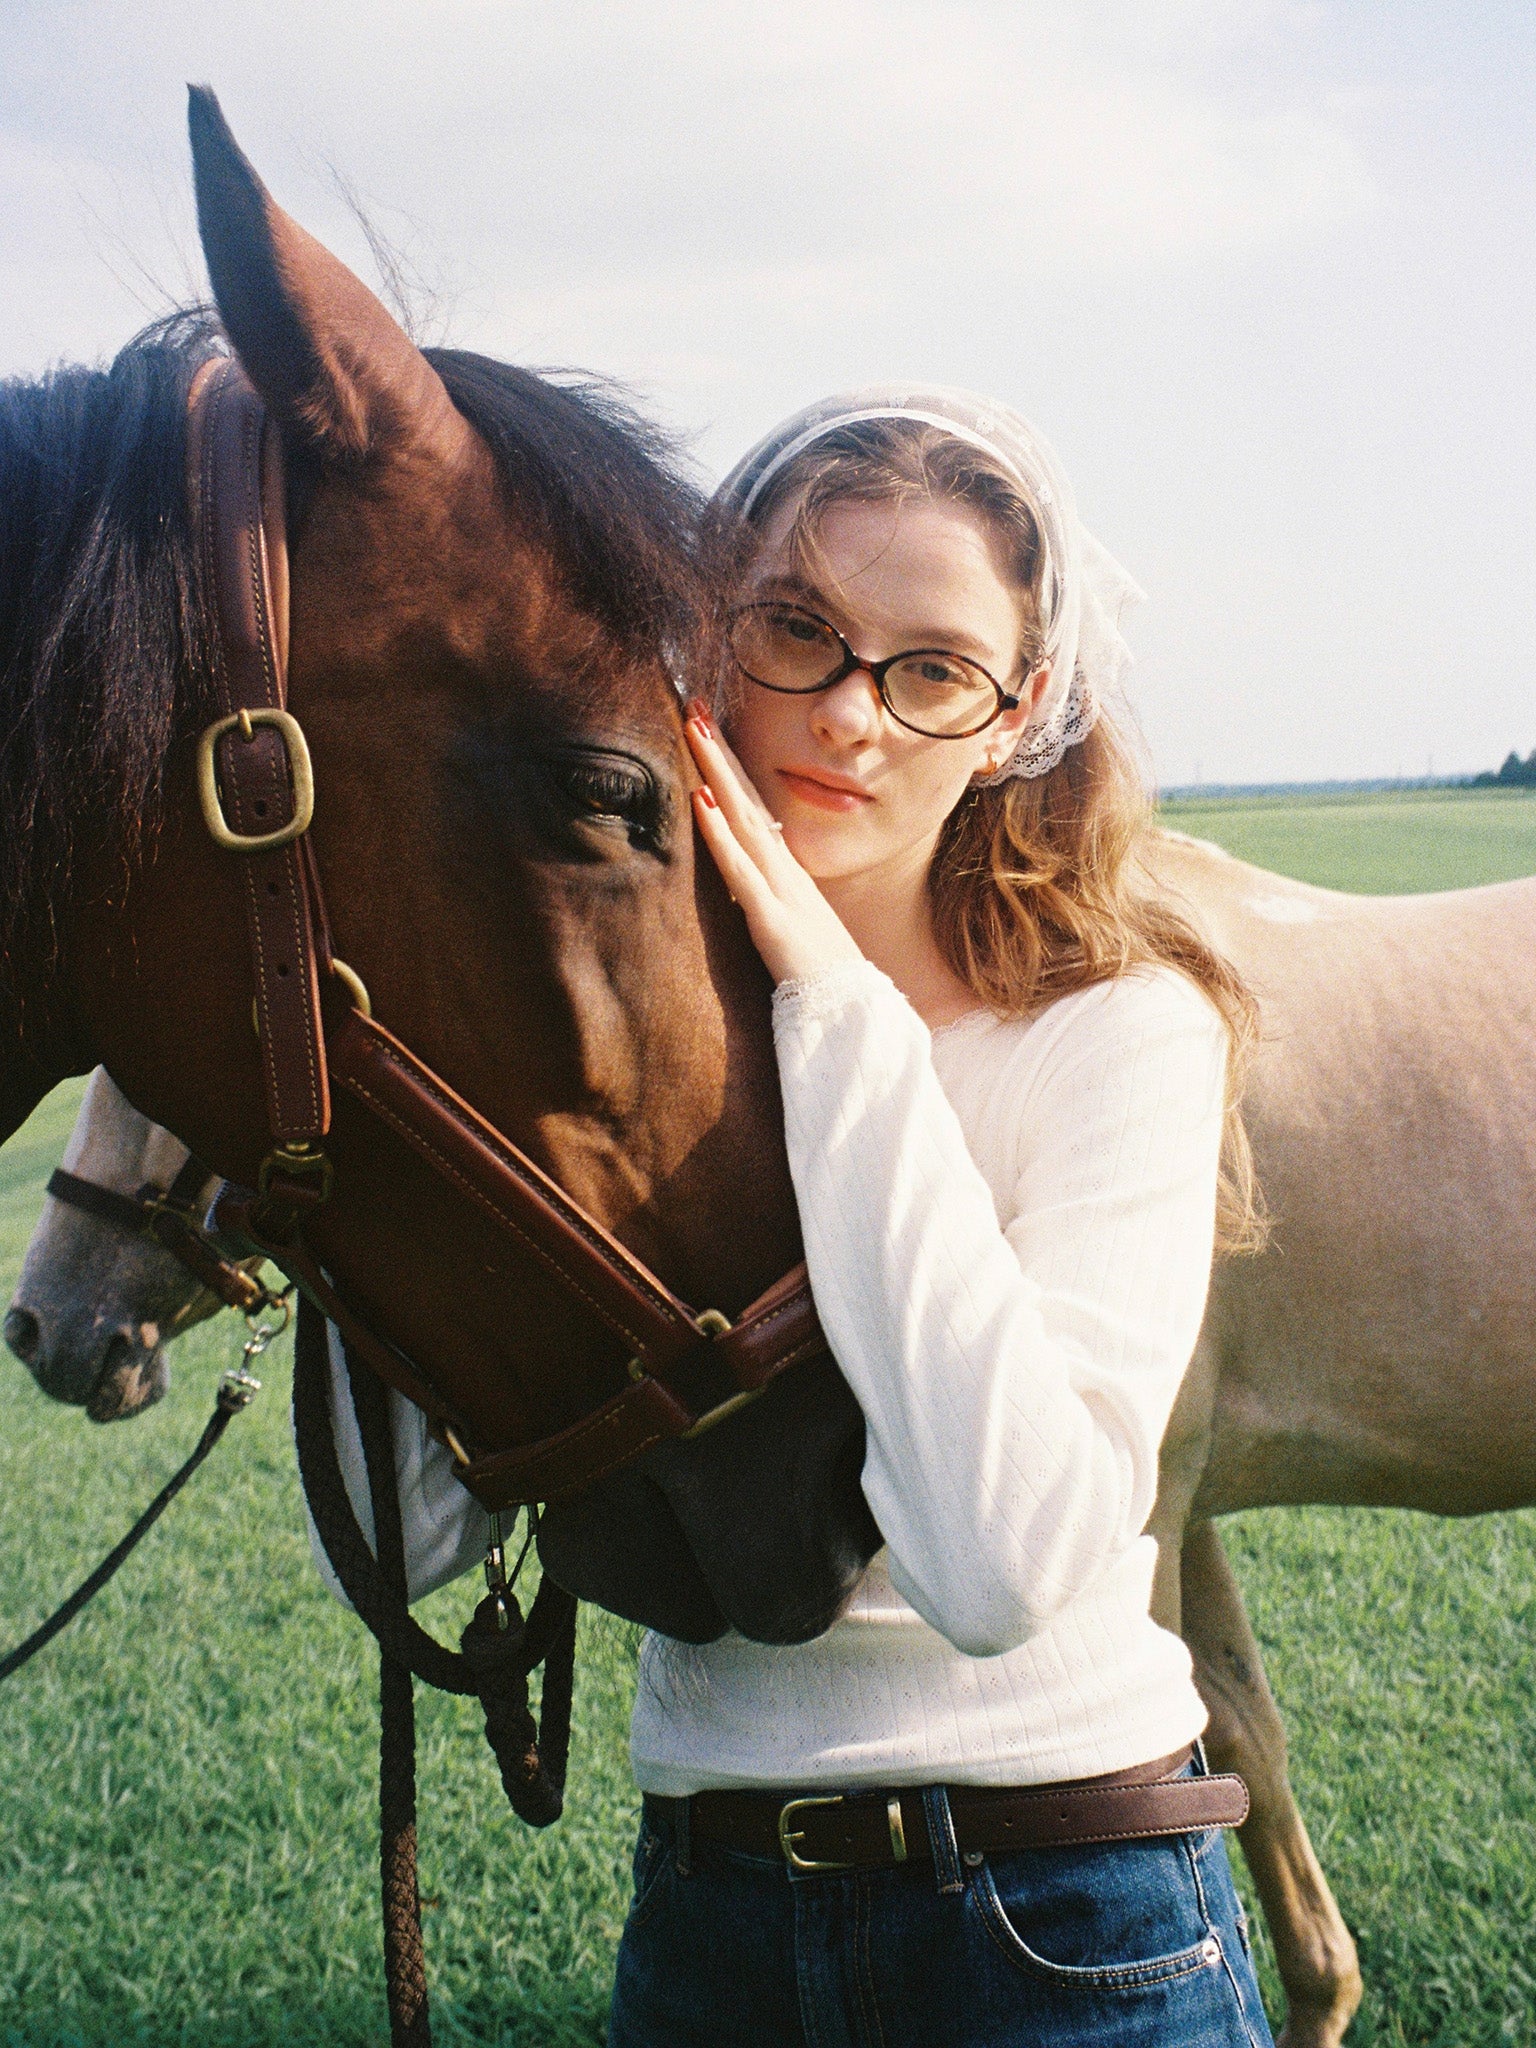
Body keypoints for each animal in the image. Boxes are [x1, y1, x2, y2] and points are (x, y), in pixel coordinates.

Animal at [14, 827, 1536, 2048]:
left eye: (158, 1074)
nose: (44, 1324)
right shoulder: (1190, 1511)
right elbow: (1244, 1747)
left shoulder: (1153, 1507)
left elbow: (1202, 1751)